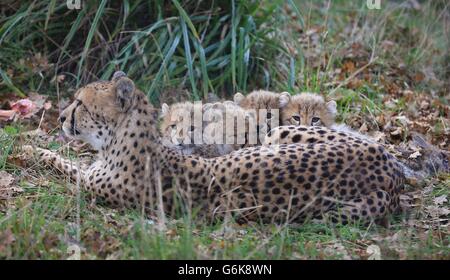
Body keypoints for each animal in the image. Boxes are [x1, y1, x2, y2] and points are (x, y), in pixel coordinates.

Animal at [22, 71, 406, 225]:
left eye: (80, 103)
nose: (60, 117)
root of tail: (388, 172)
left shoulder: (90, 182)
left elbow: (66, 165)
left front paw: (31, 151)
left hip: (279, 133)